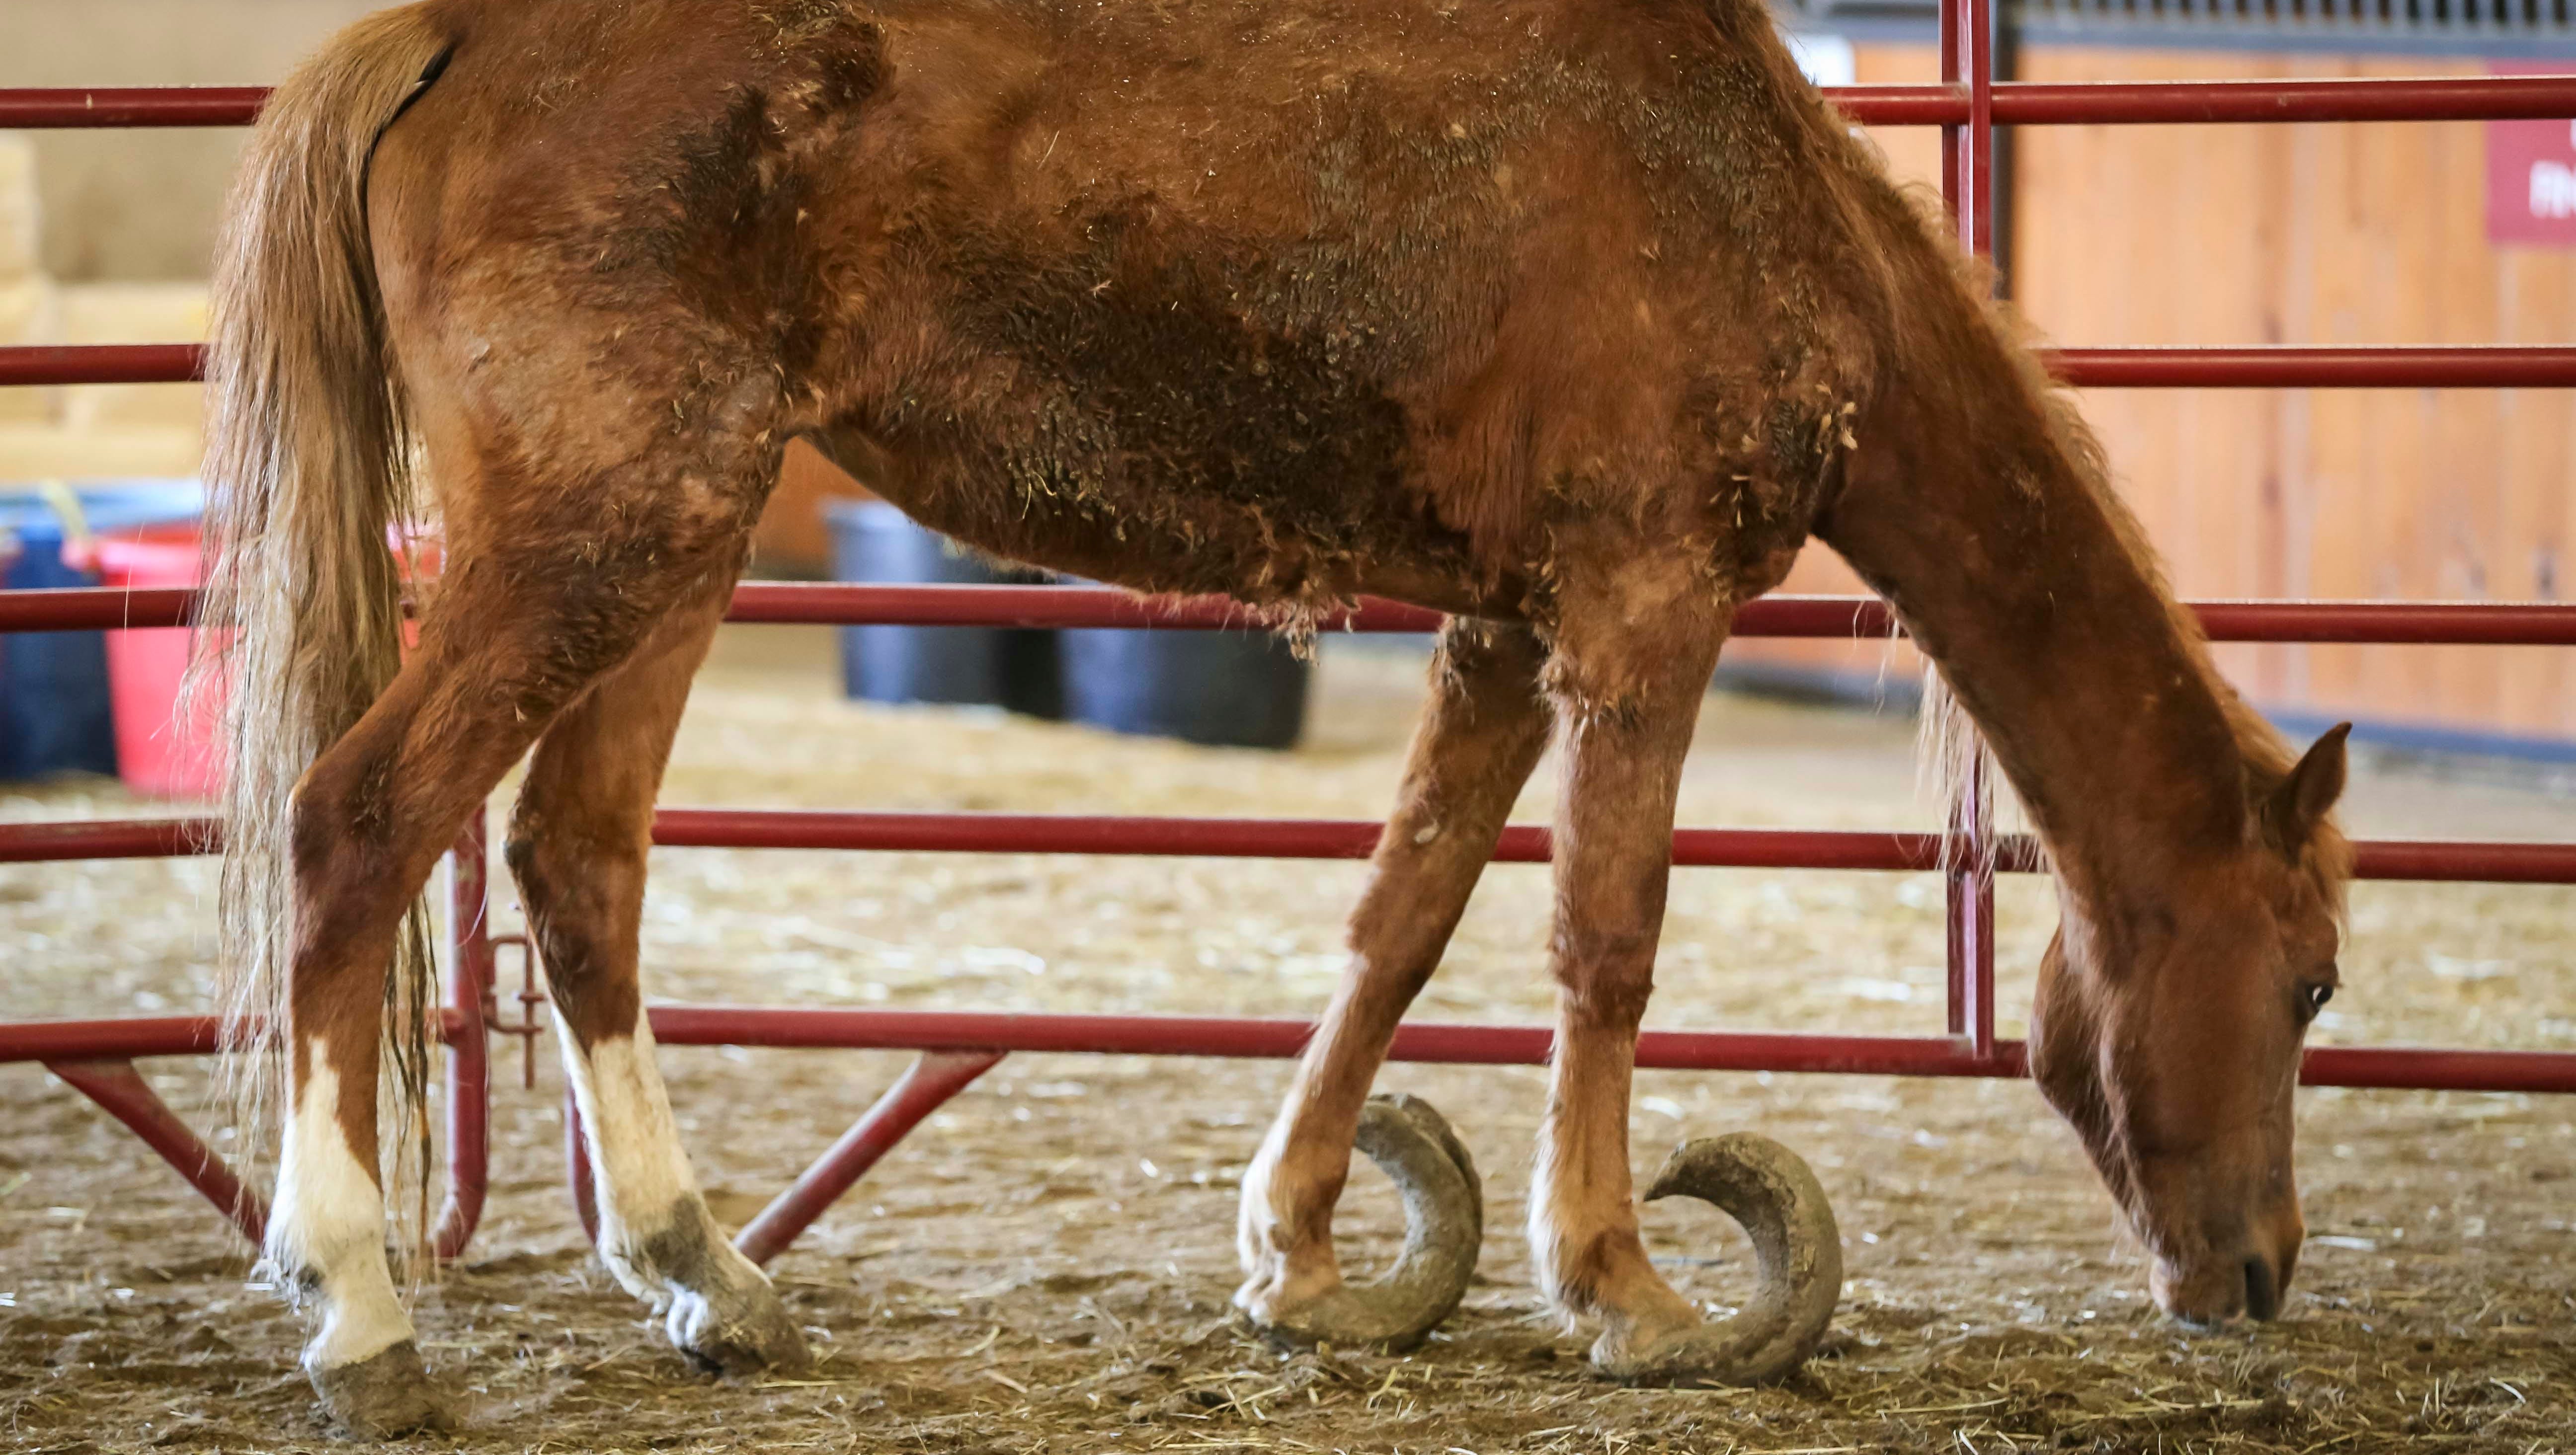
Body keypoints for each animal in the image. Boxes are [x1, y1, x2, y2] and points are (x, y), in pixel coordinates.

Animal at [197, 0, 2354, 1435]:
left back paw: (705, 1276)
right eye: (2316, 980)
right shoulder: (1640, 619)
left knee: (576, 866)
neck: (1751, 197)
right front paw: (1625, 1286)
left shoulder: (1500, 638)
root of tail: (449, 36)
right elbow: (1606, 944)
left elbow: (1400, 919)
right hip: (597, 542)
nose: (2255, 1274)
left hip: (675, 546)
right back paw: (362, 1307)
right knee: (356, 827)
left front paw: (1303, 1253)